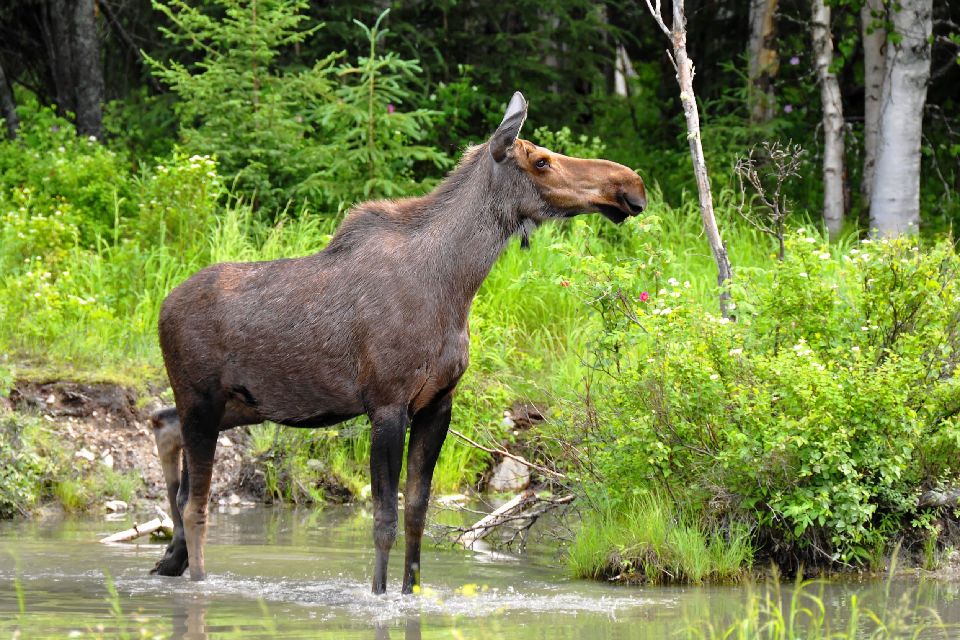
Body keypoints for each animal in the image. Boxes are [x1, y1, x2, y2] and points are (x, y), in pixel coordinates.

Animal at [148, 91, 644, 596]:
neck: (457, 285)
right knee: (196, 502)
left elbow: (417, 514)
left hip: (236, 405)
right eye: (541, 161)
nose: (631, 184)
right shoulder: (387, 404)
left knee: (165, 430)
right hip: (202, 398)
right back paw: (195, 577)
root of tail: (162, 308)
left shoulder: (437, 404)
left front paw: (411, 591)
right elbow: (384, 520)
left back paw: (170, 558)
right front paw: (381, 592)